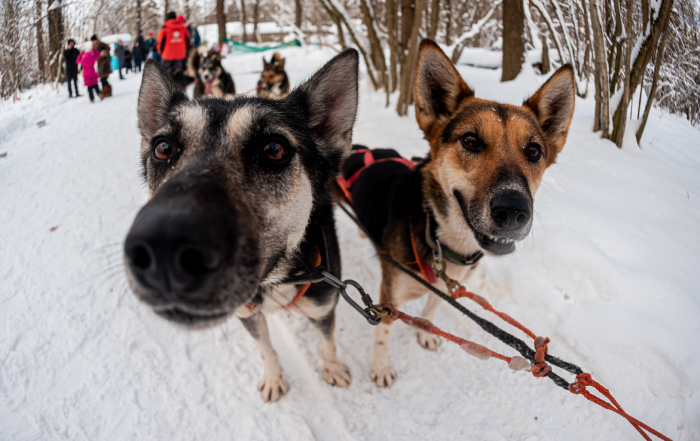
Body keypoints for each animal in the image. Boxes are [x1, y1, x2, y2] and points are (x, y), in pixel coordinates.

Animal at [123, 49, 358, 402]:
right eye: (162, 148)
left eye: (273, 149)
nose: (164, 246)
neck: (275, 282)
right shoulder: (248, 315)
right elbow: (266, 349)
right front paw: (274, 378)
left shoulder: (323, 307)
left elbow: (327, 344)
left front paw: (333, 369)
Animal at [338, 39, 576, 386]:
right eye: (471, 140)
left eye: (534, 150)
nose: (514, 211)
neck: (441, 237)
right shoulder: (388, 298)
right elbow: (384, 333)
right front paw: (381, 368)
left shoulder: (443, 288)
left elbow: (431, 310)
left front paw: (425, 333)